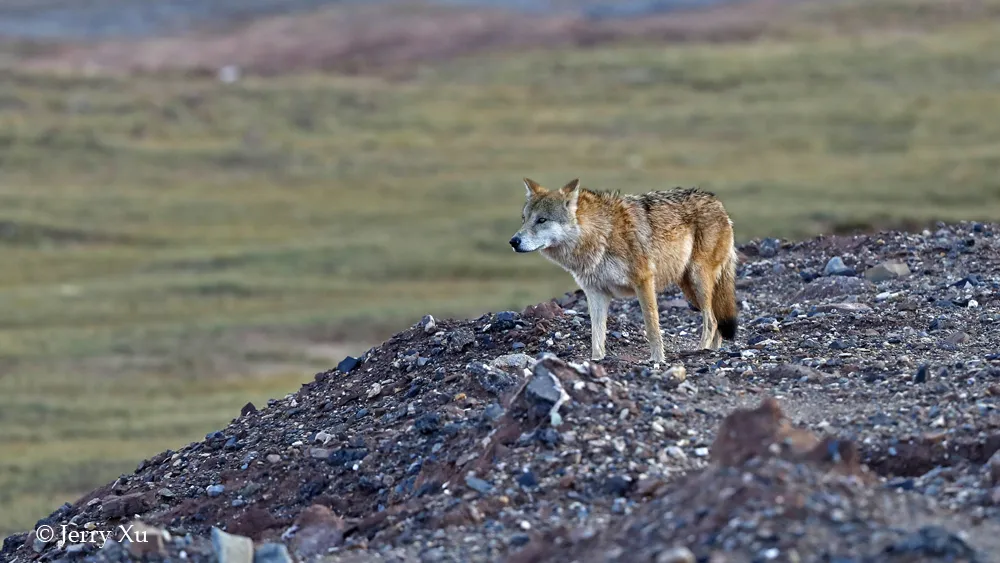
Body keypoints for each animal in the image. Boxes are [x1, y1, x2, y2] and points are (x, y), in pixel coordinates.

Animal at [512, 178, 740, 364]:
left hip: (697, 281)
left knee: (711, 321)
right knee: (716, 321)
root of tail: (718, 203)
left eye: (542, 220)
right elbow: (596, 335)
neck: (600, 235)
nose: (513, 241)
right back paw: (712, 351)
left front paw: (657, 360)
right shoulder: (595, 293)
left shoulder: (644, 281)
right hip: (689, 289)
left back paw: (701, 351)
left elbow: (652, 327)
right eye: (524, 219)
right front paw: (596, 361)